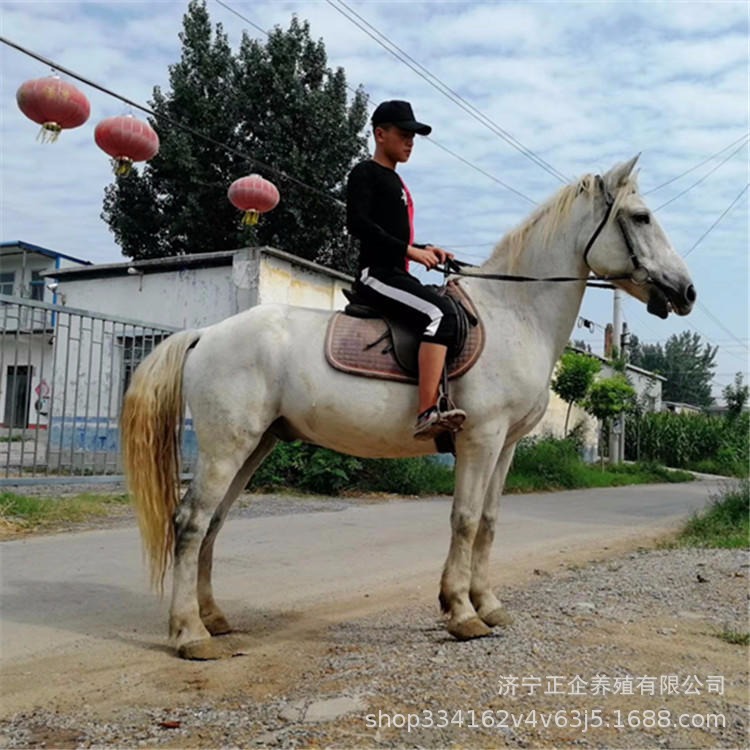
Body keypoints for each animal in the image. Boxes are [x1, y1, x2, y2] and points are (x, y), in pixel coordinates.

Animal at [121, 155, 696, 659]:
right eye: (641, 217)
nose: (687, 291)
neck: (515, 314)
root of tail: (207, 333)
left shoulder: (506, 445)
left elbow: (489, 521)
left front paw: (489, 605)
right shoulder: (480, 438)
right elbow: (465, 519)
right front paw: (461, 612)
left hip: (256, 444)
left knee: (214, 522)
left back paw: (214, 618)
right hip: (227, 445)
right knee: (191, 521)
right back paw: (190, 634)